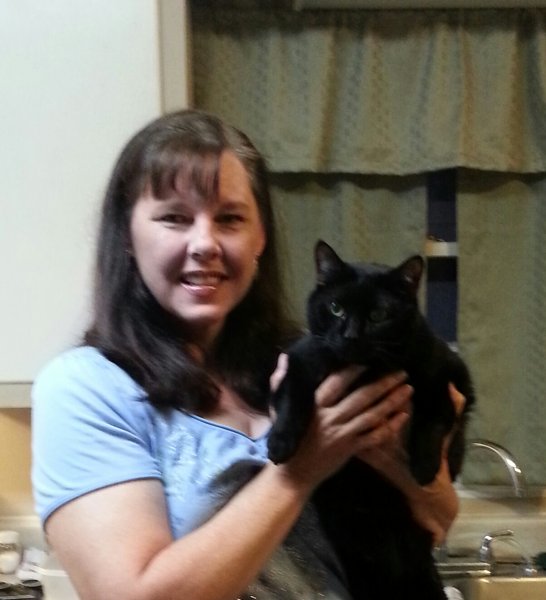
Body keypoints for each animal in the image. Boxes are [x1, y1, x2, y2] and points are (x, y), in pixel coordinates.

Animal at [268, 240, 475, 600]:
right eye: (336, 308)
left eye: (378, 315)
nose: (350, 335)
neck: (366, 371)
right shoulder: (301, 359)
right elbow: (292, 399)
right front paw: (280, 443)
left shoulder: (442, 374)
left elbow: (434, 419)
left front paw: (424, 467)